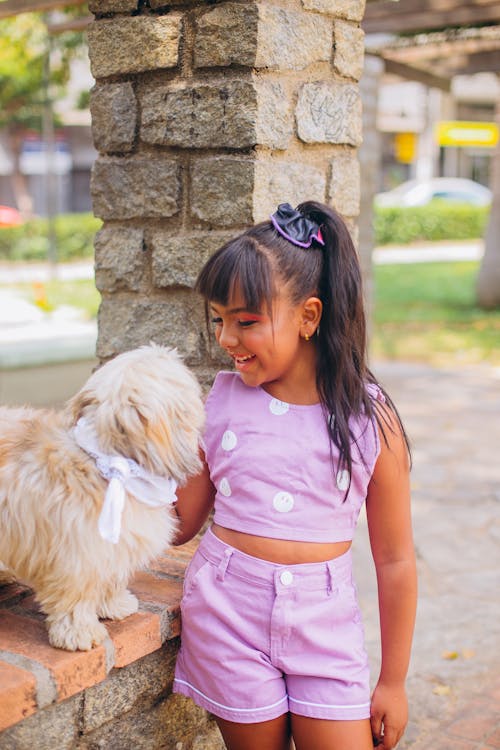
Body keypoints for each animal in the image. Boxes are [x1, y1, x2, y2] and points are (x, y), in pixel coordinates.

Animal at [0, 346, 205, 652]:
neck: (110, 463)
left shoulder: (112, 550)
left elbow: (110, 578)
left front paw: (114, 604)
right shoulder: (76, 556)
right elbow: (75, 597)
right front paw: (78, 632)